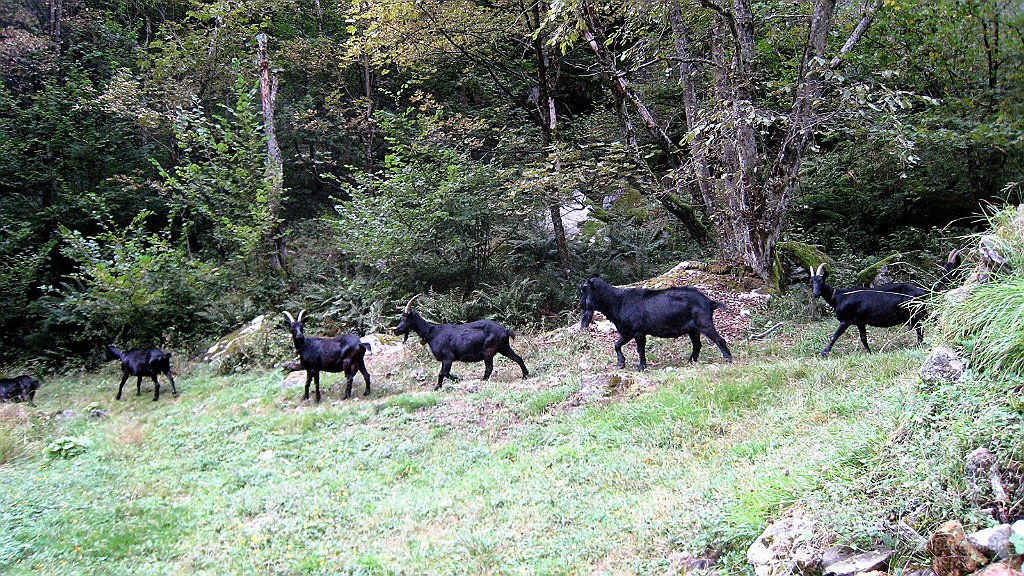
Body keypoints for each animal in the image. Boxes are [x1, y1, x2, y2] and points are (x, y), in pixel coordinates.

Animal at [395, 296, 528, 390]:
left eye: (404, 318)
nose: (396, 331)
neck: (432, 333)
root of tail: (505, 330)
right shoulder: (444, 360)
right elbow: (441, 374)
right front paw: (437, 387)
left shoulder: (448, 357)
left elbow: (444, 372)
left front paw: (459, 379)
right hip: (504, 347)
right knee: (518, 358)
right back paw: (525, 375)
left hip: (489, 350)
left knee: (489, 367)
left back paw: (483, 380)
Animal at [578, 276, 732, 370]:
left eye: (585, 291)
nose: (581, 305)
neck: (618, 302)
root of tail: (709, 302)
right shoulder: (627, 332)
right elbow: (616, 345)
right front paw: (621, 363)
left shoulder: (638, 332)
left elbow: (640, 350)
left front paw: (642, 367)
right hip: (693, 329)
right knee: (697, 345)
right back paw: (690, 361)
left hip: (704, 323)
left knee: (720, 340)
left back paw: (728, 359)